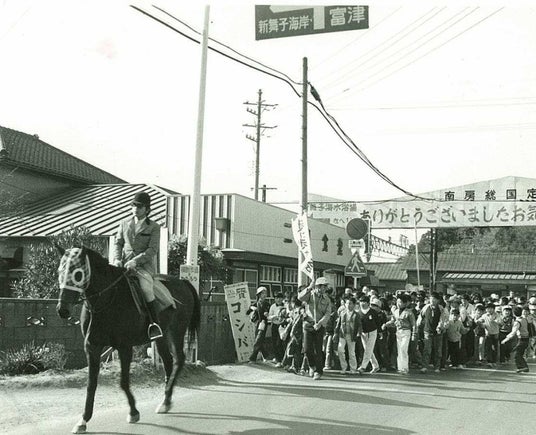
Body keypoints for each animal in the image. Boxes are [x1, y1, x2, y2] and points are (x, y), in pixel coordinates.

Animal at [55, 245, 200, 434]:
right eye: (60, 271)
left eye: (77, 274)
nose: (62, 310)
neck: (106, 299)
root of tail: (183, 282)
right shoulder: (92, 347)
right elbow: (91, 384)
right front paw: (83, 420)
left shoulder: (124, 347)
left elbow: (123, 382)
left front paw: (133, 412)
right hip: (161, 337)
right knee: (168, 361)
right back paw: (166, 401)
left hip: (176, 332)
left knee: (178, 359)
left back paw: (166, 400)